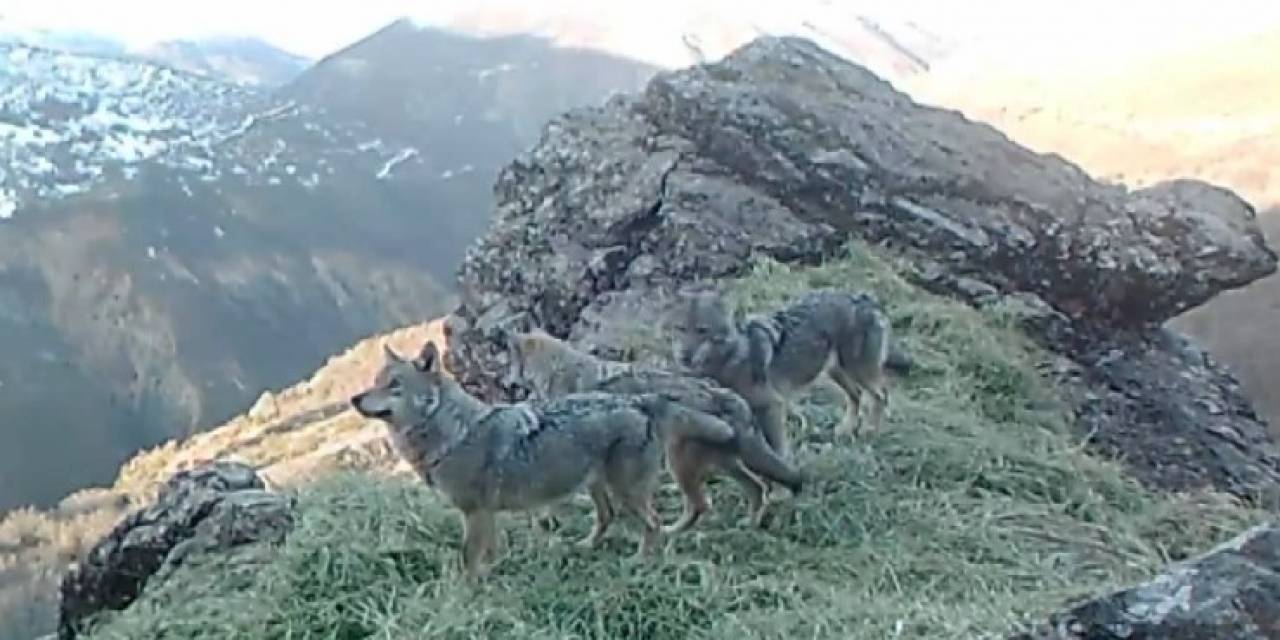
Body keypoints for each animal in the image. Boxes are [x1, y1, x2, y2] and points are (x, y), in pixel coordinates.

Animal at [350, 340, 737, 576]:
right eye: (376, 381)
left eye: (394, 386)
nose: (354, 398)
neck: (453, 435)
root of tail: (642, 401)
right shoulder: (485, 515)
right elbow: (486, 556)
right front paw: (489, 579)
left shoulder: (474, 513)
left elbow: (467, 560)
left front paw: (465, 594)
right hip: (598, 487)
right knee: (608, 518)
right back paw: (584, 547)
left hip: (626, 492)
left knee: (654, 524)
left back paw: (639, 562)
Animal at [504, 327, 803, 532]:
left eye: (509, 365)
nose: (506, 384)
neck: (558, 370)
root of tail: (721, 393)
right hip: (721, 462)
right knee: (756, 488)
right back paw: (748, 526)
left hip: (679, 464)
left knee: (701, 505)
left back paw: (673, 531)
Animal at [670, 288, 901, 458]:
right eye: (680, 329)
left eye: (702, 330)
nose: (684, 356)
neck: (733, 357)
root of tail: (864, 299)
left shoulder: (773, 406)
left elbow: (778, 451)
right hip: (835, 372)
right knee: (857, 395)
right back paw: (845, 430)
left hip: (857, 372)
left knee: (881, 396)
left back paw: (870, 433)